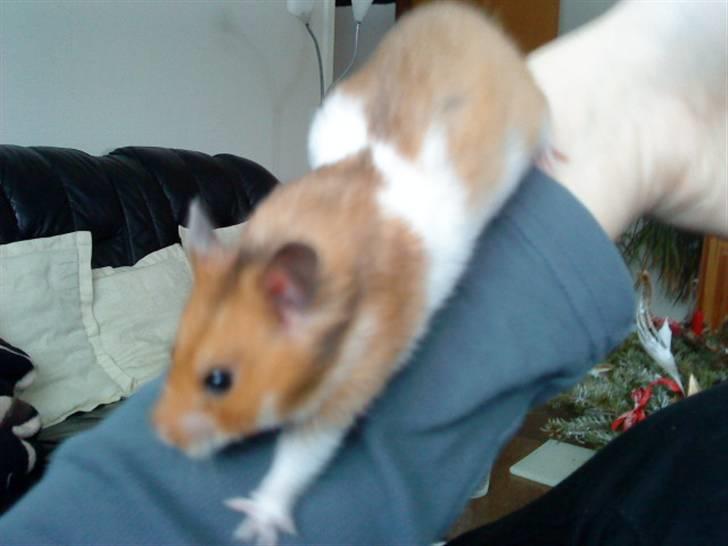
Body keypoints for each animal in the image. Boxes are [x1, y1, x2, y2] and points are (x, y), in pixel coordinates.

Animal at [152, 2, 548, 544]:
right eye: (171, 352)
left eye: (219, 381)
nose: (159, 434)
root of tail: (459, 15)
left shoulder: (350, 385)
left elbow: (297, 460)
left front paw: (256, 526)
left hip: (529, 108)